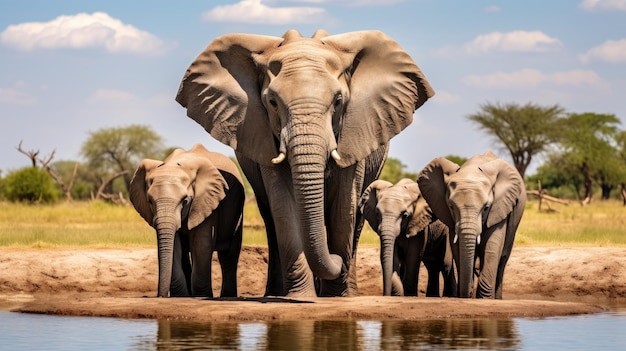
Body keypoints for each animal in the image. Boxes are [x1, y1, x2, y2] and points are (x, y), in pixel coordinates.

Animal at [129, 144, 244, 298]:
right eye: (150, 201)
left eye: (185, 201)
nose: (160, 296)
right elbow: (175, 247)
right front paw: (181, 296)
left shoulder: (206, 201)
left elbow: (201, 245)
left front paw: (202, 296)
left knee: (229, 255)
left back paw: (227, 296)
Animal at [173, 28, 432, 296]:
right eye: (272, 102)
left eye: (338, 101)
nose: (337, 260)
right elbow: (283, 205)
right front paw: (301, 296)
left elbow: (343, 207)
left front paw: (335, 296)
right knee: (271, 220)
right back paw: (276, 293)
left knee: (356, 222)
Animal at [416, 152, 524, 300]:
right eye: (451, 206)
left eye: (486, 207)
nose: (468, 294)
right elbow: (456, 247)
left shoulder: (500, 207)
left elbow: (492, 247)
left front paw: (484, 298)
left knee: (502, 260)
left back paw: (497, 298)